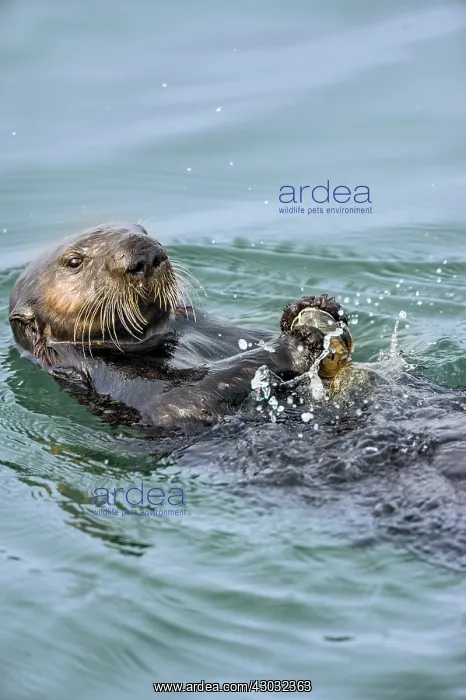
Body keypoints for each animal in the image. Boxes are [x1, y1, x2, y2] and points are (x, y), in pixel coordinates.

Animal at [9, 221, 354, 435]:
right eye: (74, 262)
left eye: (143, 229)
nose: (145, 253)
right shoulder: (106, 376)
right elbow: (180, 401)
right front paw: (296, 341)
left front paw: (313, 307)